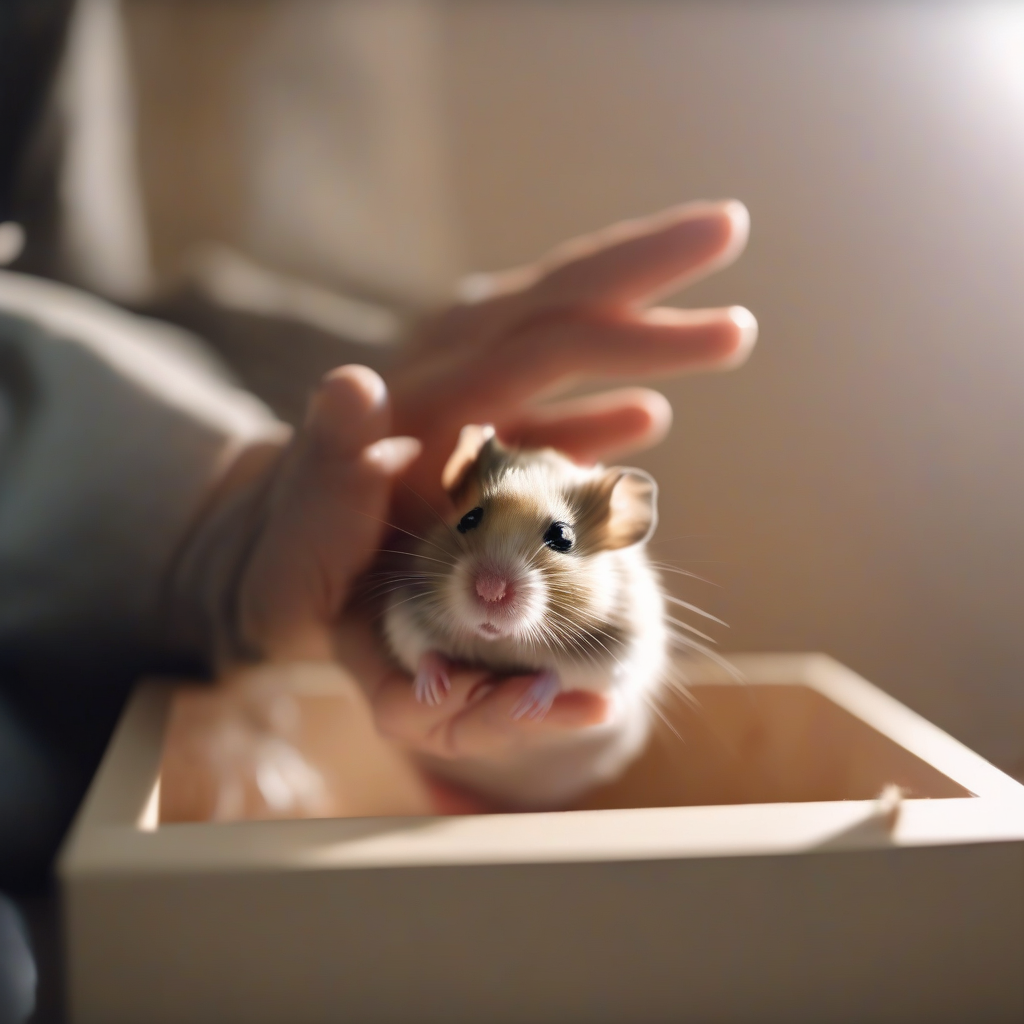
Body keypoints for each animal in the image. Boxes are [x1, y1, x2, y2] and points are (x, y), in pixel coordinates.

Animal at [379, 425, 671, 806]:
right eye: (468, 518)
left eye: (562, 536)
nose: (490, 590)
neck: (499, 644)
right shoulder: (405, 613)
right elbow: (423, 651)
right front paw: (432, 694)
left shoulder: (621, 652)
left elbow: (562, 675)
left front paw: (525, 706)